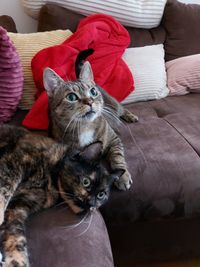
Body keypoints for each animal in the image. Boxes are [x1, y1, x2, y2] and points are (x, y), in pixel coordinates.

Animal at [0, 125, 117, 267]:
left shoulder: (18, 206)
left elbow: (16, 235)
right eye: (86, 181)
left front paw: (17, 262)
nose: (91, 204)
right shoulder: (16, 160)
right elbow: (5, 186)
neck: (51, 181)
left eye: (101, 195)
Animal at [43, 52, 138, 191]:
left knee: (122, 109)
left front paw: (123, 176)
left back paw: (131, 116)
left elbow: (118, 157)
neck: (85, 127)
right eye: (71, 97)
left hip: (115, 106)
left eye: (93, 92)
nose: (90, 101)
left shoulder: (114, 139)